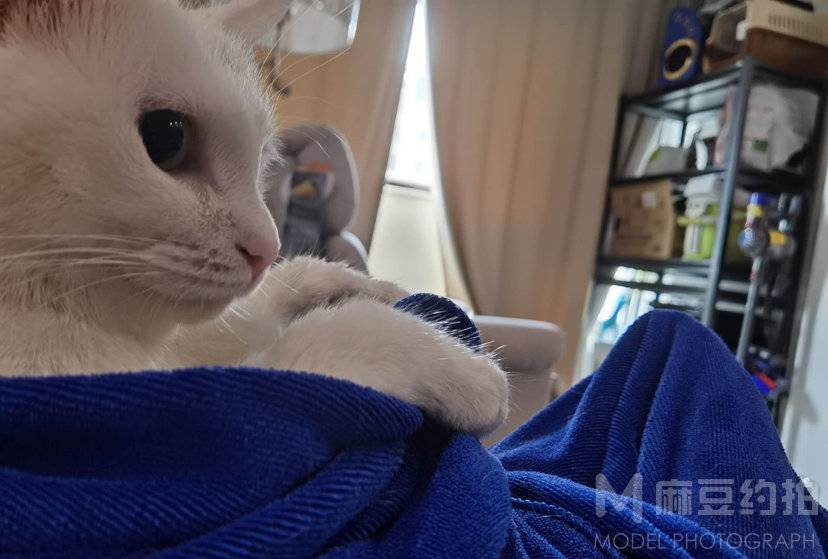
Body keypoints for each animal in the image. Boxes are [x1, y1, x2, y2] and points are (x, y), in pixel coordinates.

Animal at [0, 0, 508, 436]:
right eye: (167, 137)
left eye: (262, 159)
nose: (267, 249)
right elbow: (333, 340)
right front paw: (458, 364)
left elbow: (263, 303)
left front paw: (356, 284)